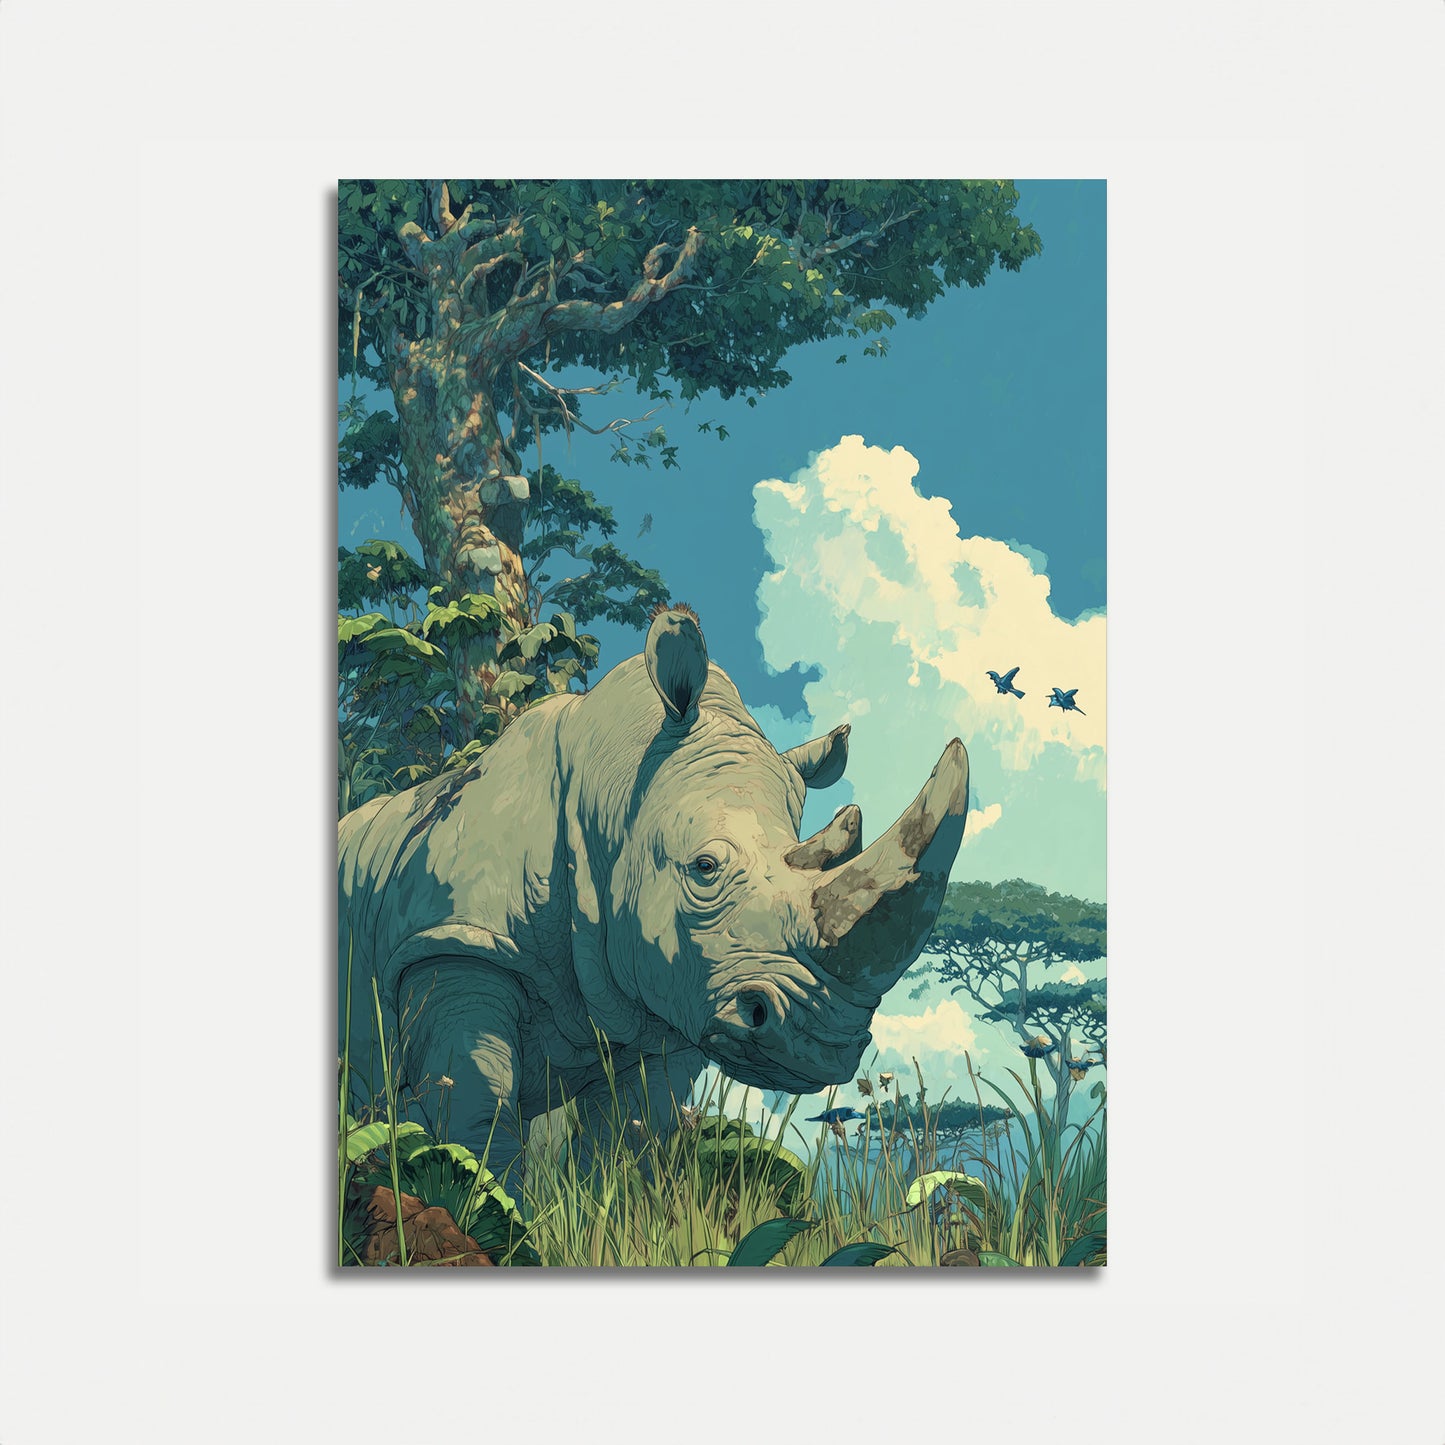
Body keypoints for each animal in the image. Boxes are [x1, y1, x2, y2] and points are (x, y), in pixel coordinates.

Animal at [339, 605, 970, 1177]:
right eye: (705, 868)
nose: (823, 1042)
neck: (614, 789)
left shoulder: (677, 996)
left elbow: (627, 1145)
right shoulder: (454, 942)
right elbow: (473, 1121)